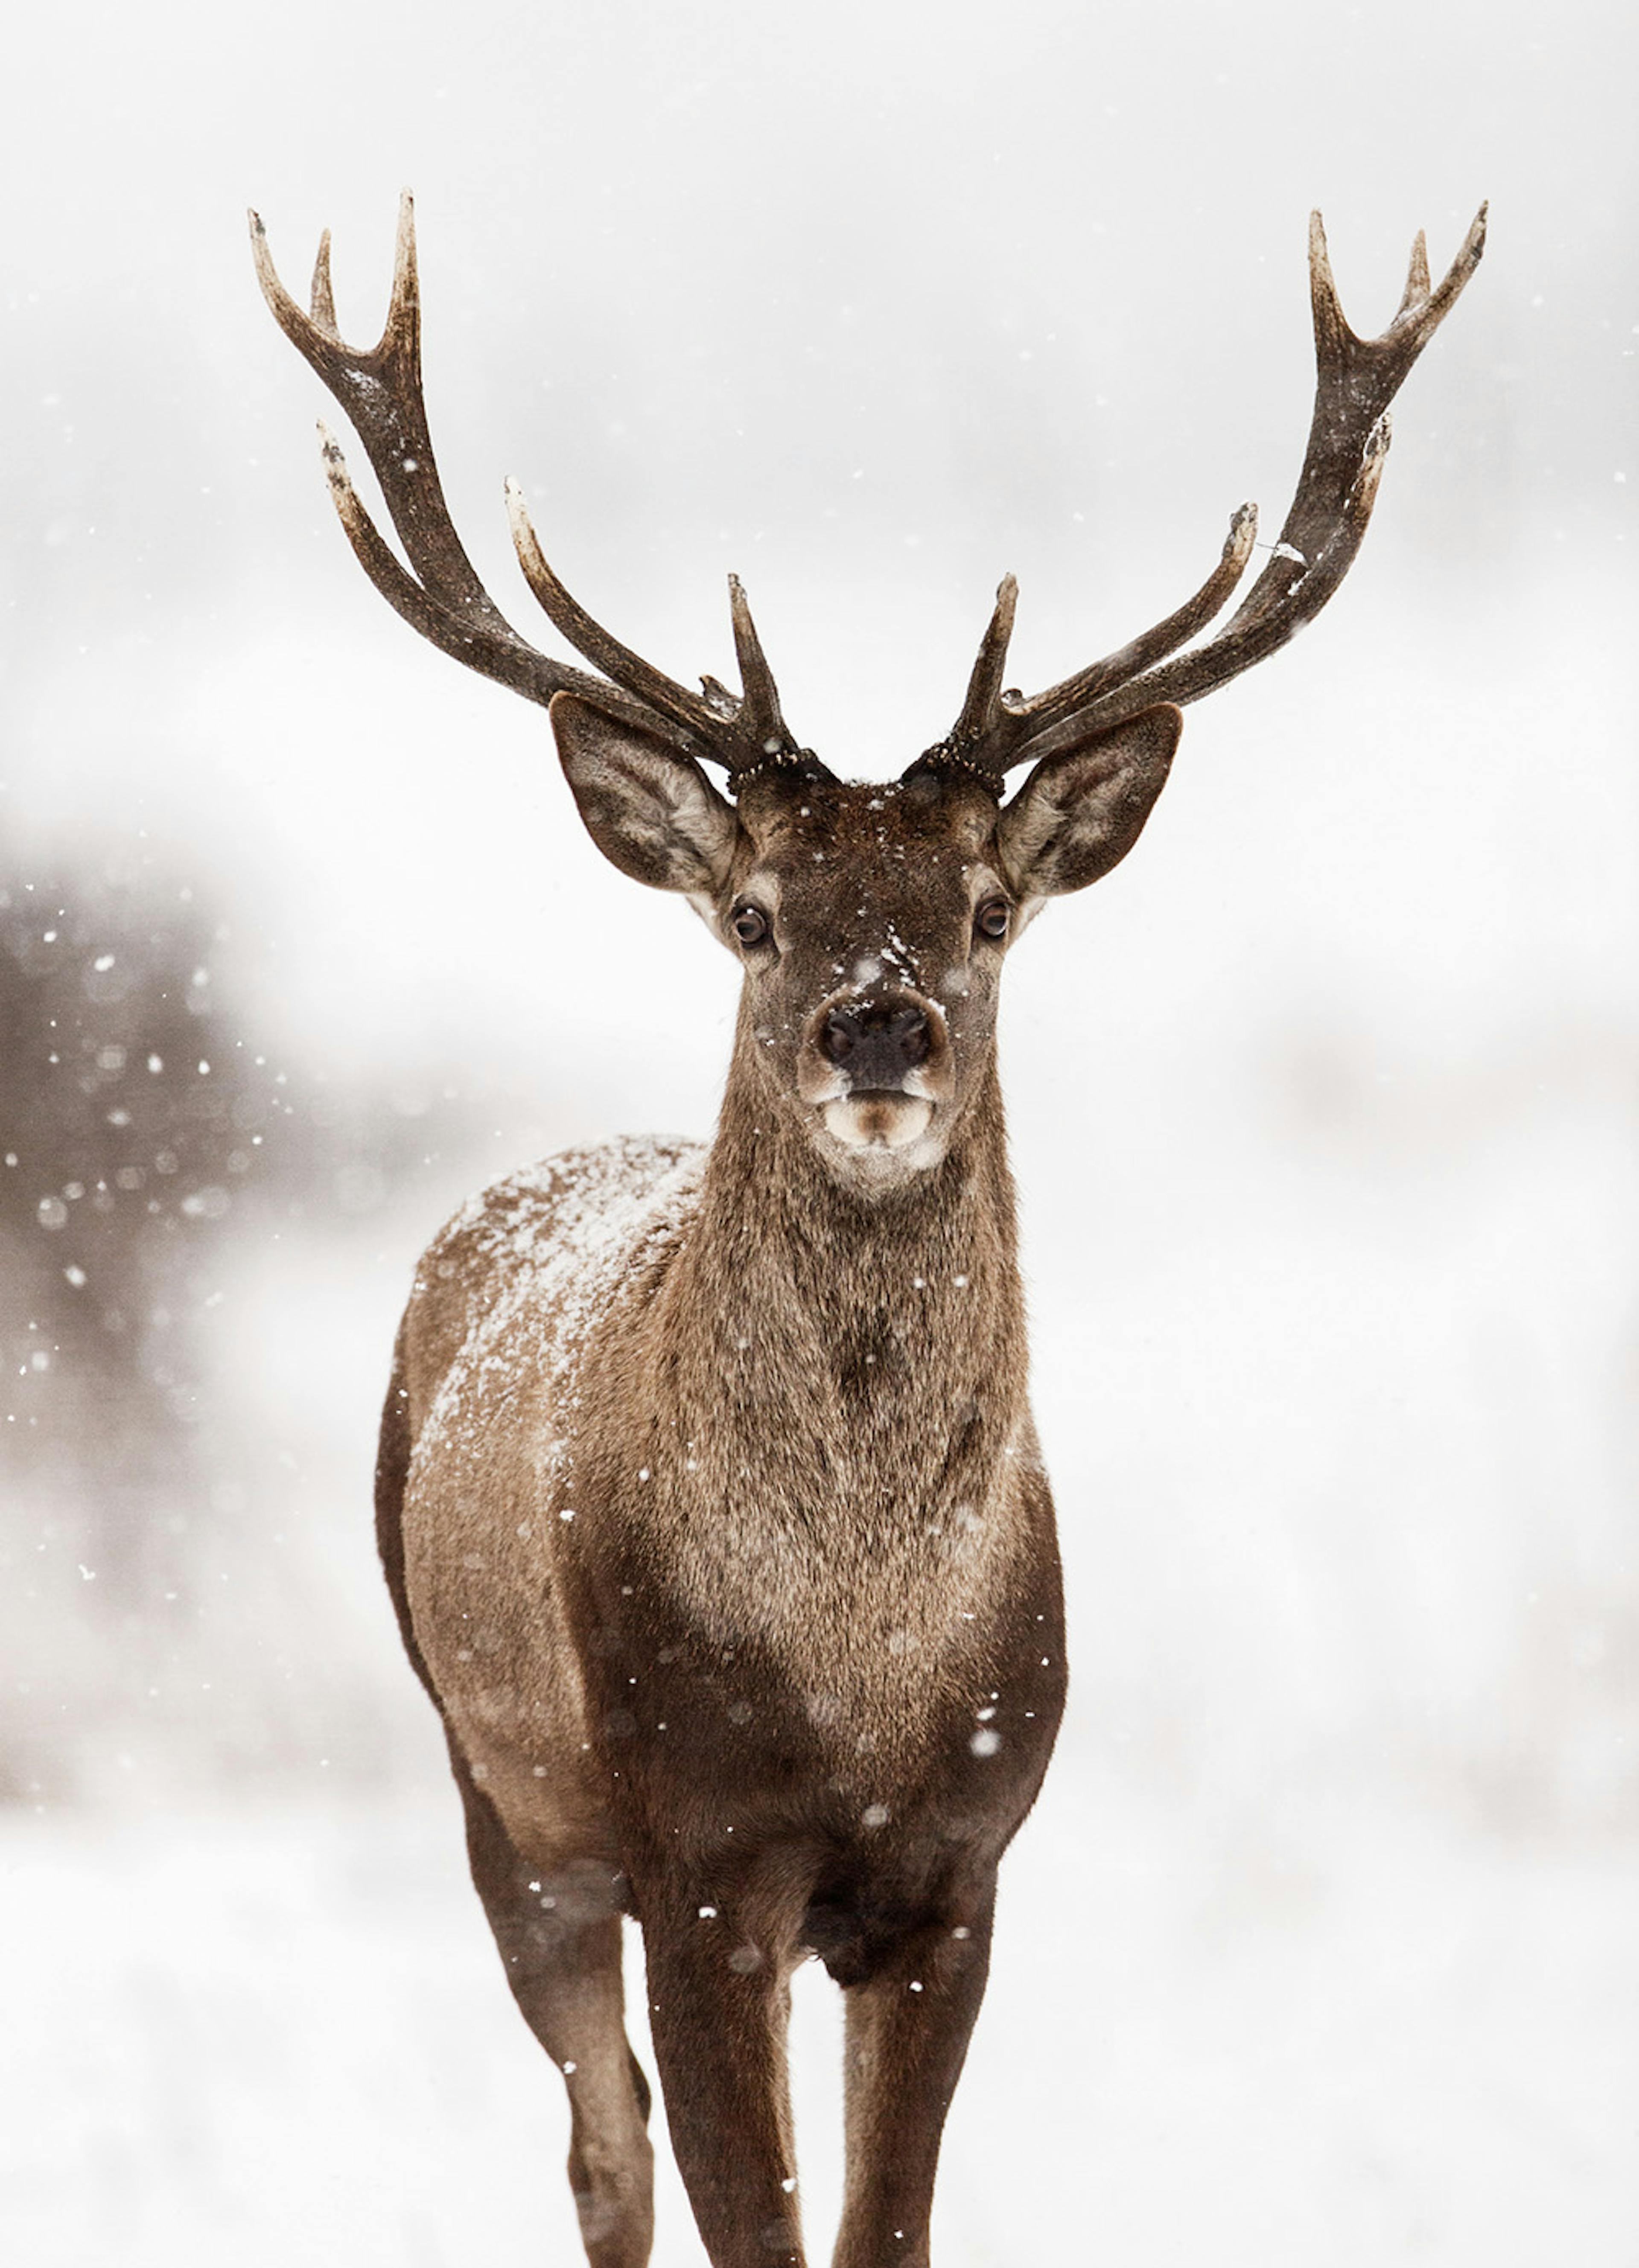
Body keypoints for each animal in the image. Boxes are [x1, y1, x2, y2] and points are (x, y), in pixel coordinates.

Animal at [252, 194, 1484, 2268]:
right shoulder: (695, 1851)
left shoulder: (959, 1862)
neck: (853, 1662)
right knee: (600, 2153)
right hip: (497, 1791)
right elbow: (739, 2213)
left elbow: (882, 2226)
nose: (881, 1023)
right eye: (755, 912)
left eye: (986, 907)